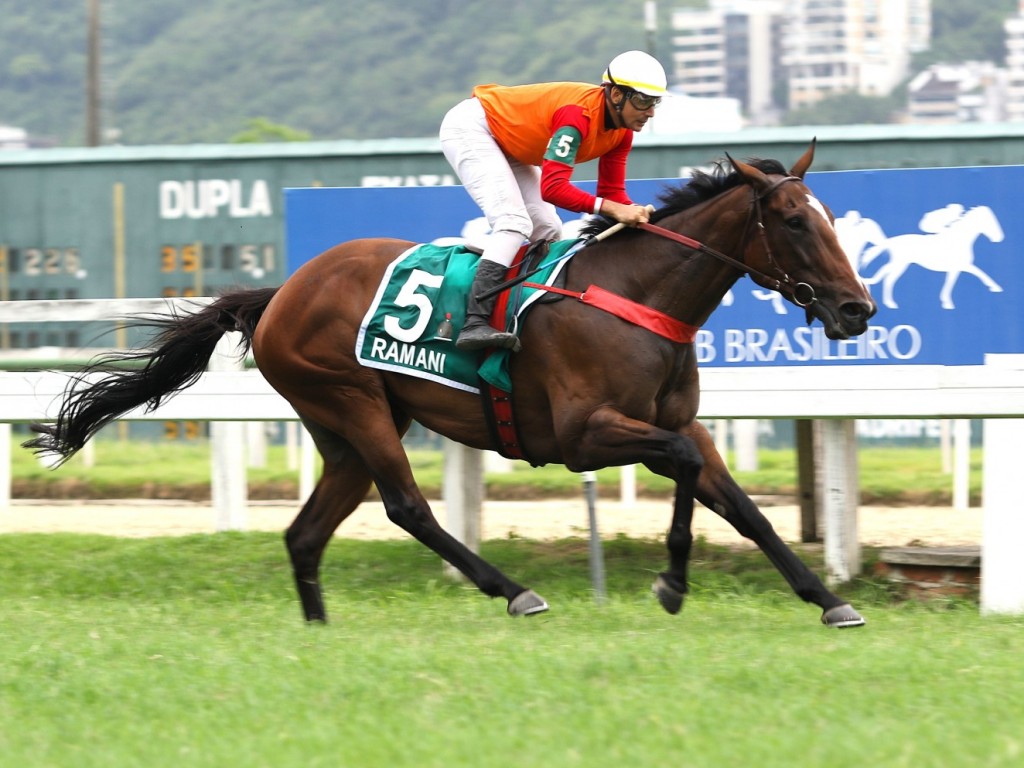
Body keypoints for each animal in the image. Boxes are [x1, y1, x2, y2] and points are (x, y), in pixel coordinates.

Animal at [25, 141, 872, 626]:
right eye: (795, 221)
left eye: (832, 218)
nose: (856, 309)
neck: (635, 295)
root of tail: (281, 291)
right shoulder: (585, 434)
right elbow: (692, 471)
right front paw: (670, 582)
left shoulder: (678, 422)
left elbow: (740, 505)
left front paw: (828, 600)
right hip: (353, 402)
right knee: (407, 507)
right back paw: (514, 591)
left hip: (342, 429)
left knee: (307, 531)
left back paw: (319, 630)